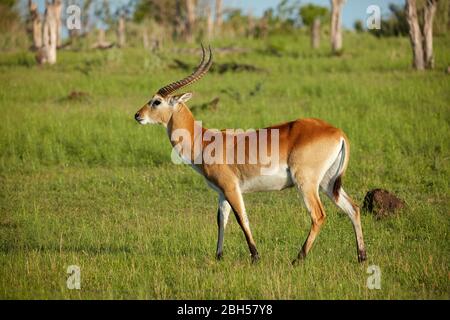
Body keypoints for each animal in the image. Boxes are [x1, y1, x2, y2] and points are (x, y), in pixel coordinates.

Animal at [134, 45, 366, 264]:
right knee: (353, 208)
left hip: (306, 183)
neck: (204, 140)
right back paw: (361, 256)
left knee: (318, 215)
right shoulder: (221, 192)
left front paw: (255, 256)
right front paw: (219, 256)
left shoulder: (231, 187)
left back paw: (297, 259)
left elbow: (241, 218)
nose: (137, 115)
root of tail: (337, 132)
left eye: (156, 101)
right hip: (328, 182)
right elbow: (221, 220)